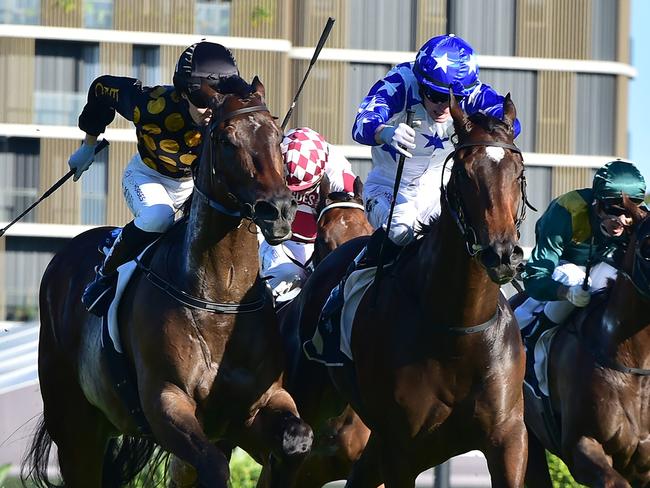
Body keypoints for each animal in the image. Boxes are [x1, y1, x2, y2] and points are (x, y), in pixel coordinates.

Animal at [22, 76, 312, 488]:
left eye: (277, 134)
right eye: (225, 139)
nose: (280, 211)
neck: (219, 297)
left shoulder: (258, 403)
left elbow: (297, 439)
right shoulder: (166, 401)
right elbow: (212, 465)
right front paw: (84, 153)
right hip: (75, 427)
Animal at [288, 93, 528, 486]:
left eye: (519, 171)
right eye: (464, 173)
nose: (502, 254)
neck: (458, 328)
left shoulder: (508, 437)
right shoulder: (403, 449)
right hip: (308, 402)